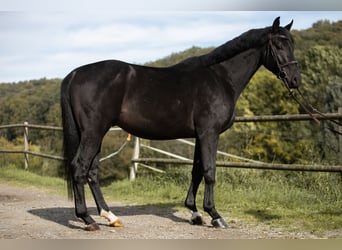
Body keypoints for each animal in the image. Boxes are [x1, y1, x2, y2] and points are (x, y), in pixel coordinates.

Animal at [60, 17, 300, 230]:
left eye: (292, 44)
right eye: (278, 44)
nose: (296, 80)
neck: (220, 77)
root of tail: (75, 74)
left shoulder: (200, 135)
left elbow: (197, 171)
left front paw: (195, 213)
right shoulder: (210, 133)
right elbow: (210, 171)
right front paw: (215, 215)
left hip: (94, 133)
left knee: (92, 172)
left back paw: (110, 217)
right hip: (93, 132)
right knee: (80, 168)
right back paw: (88, 220)